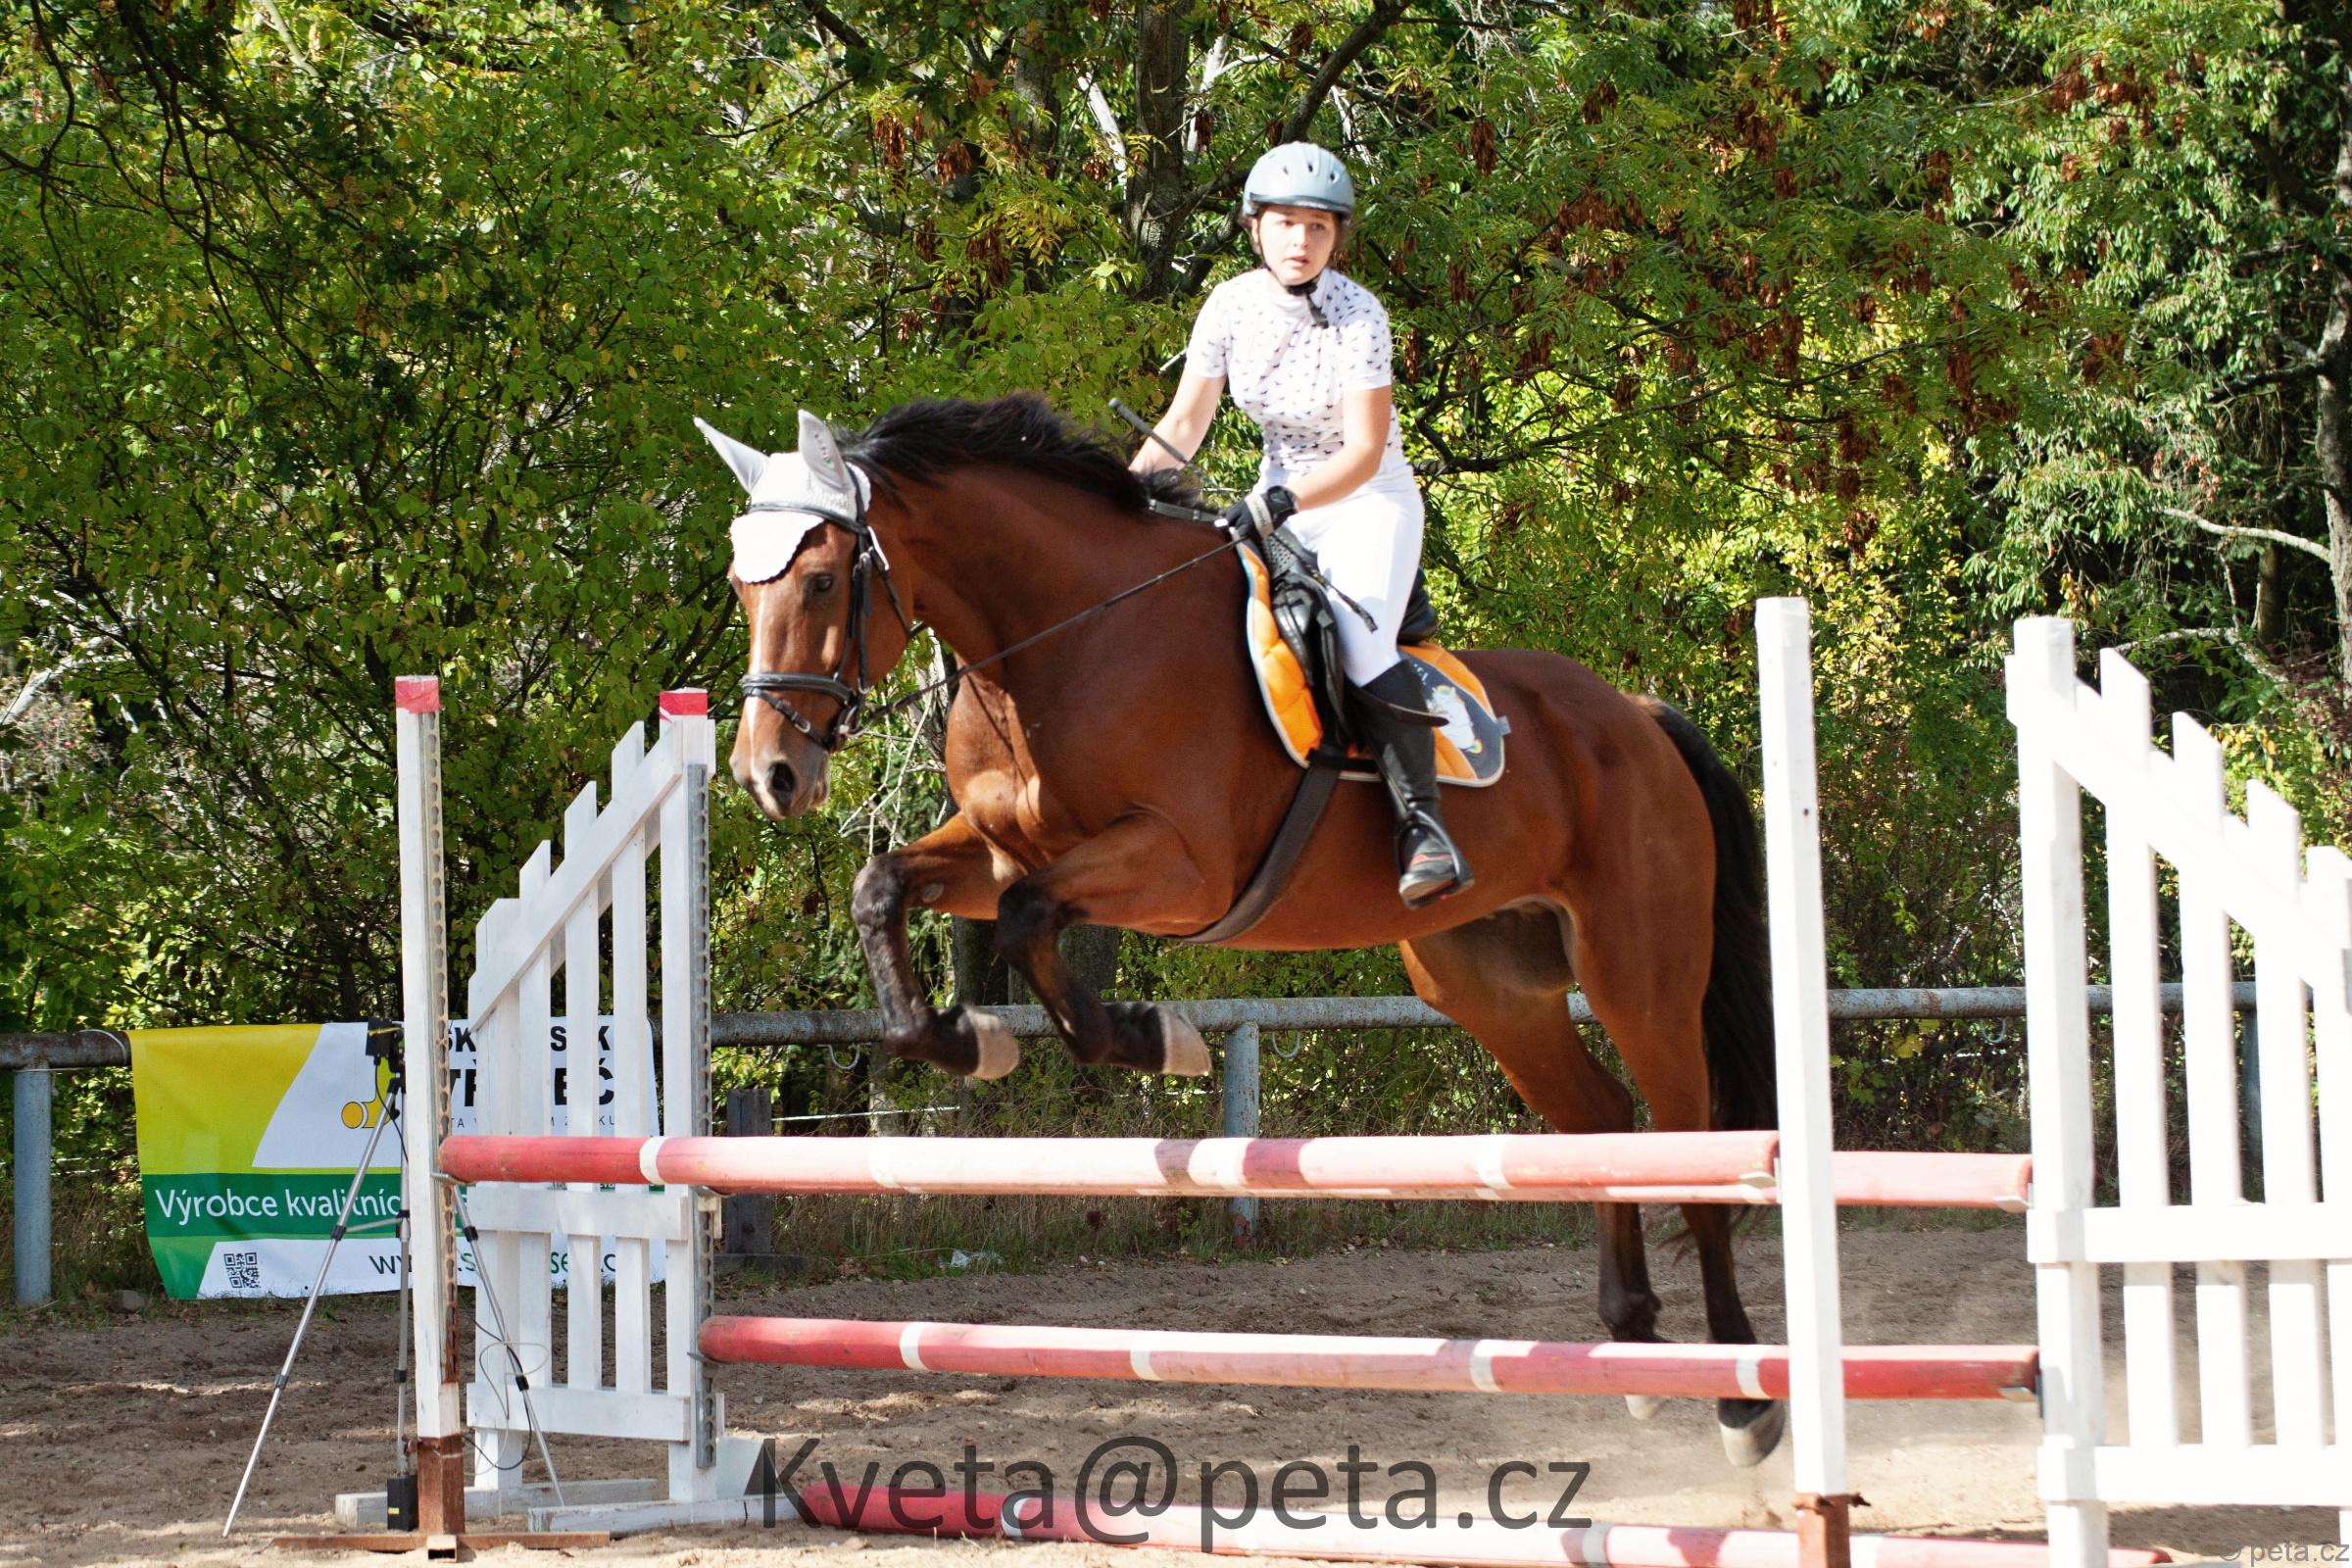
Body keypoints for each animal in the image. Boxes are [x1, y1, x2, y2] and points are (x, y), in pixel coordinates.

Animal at [698, 392, 1782, 1465]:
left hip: (1638, 972)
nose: (768, 774)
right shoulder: (996, 847)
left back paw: (1744, 1398)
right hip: (1488, 985)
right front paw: (968, 1043)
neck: (1058, 640)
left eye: (824, 579)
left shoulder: (1178, 866)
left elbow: (1027, 918)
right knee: (1604, 1121)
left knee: (1695, 1143)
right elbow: (882, 888)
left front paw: (1150, 1038)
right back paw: (1637, 1350)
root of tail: (1637, 715)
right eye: (742, 588)